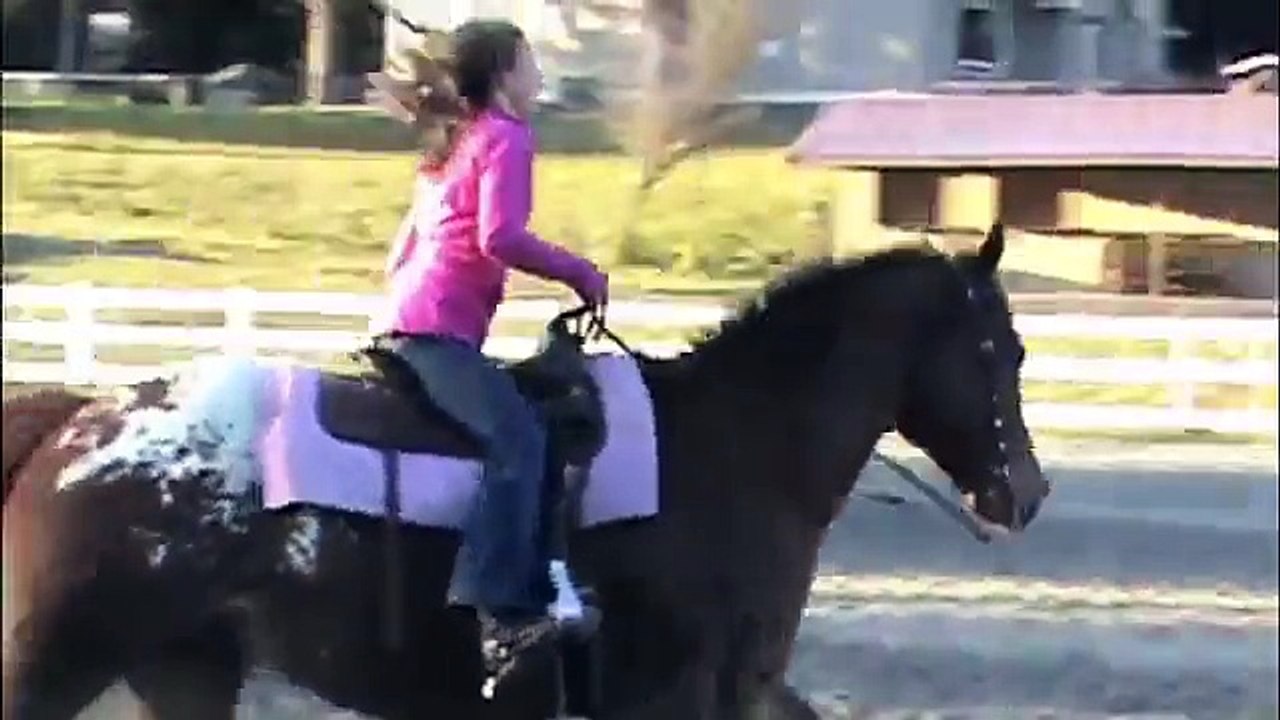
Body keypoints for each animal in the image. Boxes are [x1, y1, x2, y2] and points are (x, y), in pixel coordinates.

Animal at [2, 223, 1049, 720]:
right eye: (1000, 349)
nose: (1028, 493)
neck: (734, 448)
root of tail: (76, 420)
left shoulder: (739, 692)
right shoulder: (681, 696)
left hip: (186, 668)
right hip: (56, 659)